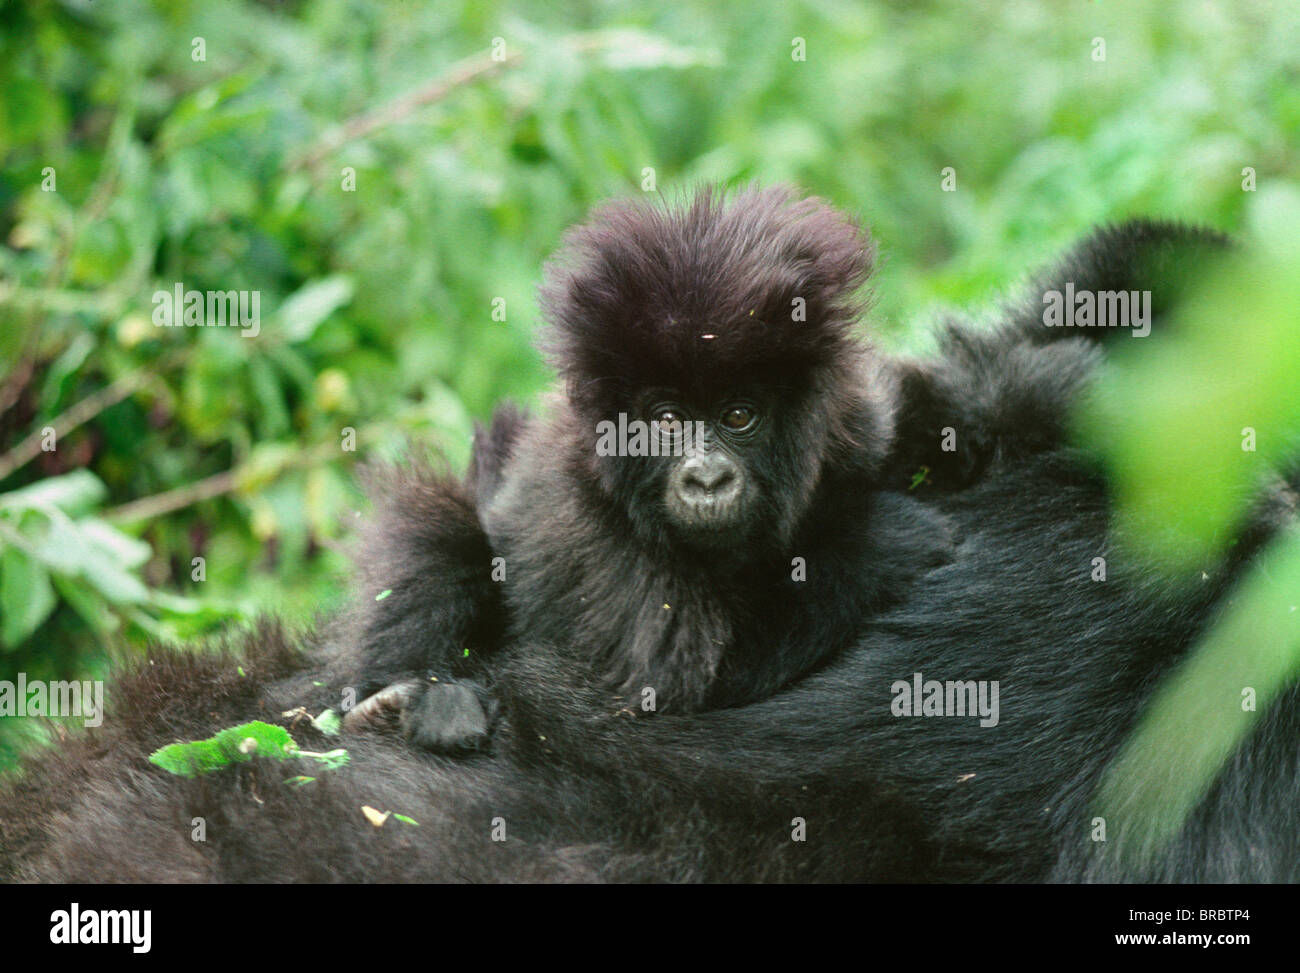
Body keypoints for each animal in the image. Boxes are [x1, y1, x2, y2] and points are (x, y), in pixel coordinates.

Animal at [340, 188, 956, 754]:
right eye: (667, 421)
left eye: (738, 416)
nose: (706, 480)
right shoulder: (589, 521)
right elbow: (682, 686)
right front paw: (892, 538)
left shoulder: (857, 423)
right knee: (438, 524)